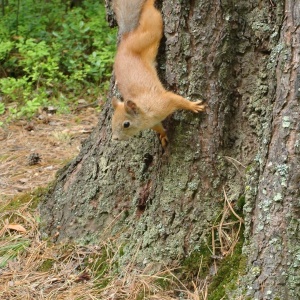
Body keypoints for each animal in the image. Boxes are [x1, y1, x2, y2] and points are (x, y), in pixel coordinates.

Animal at [111, 0, 205, 146]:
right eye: (112, 120)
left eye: (126, 124)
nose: (114, 138)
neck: (146, 114)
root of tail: (127, 37)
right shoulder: (153, 123)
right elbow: (159, 127)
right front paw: (163, 135)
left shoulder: (163, 102)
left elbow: (177, 99)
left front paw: (192, 106)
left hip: (150, 32)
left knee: (151, 15)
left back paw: (150, 3)